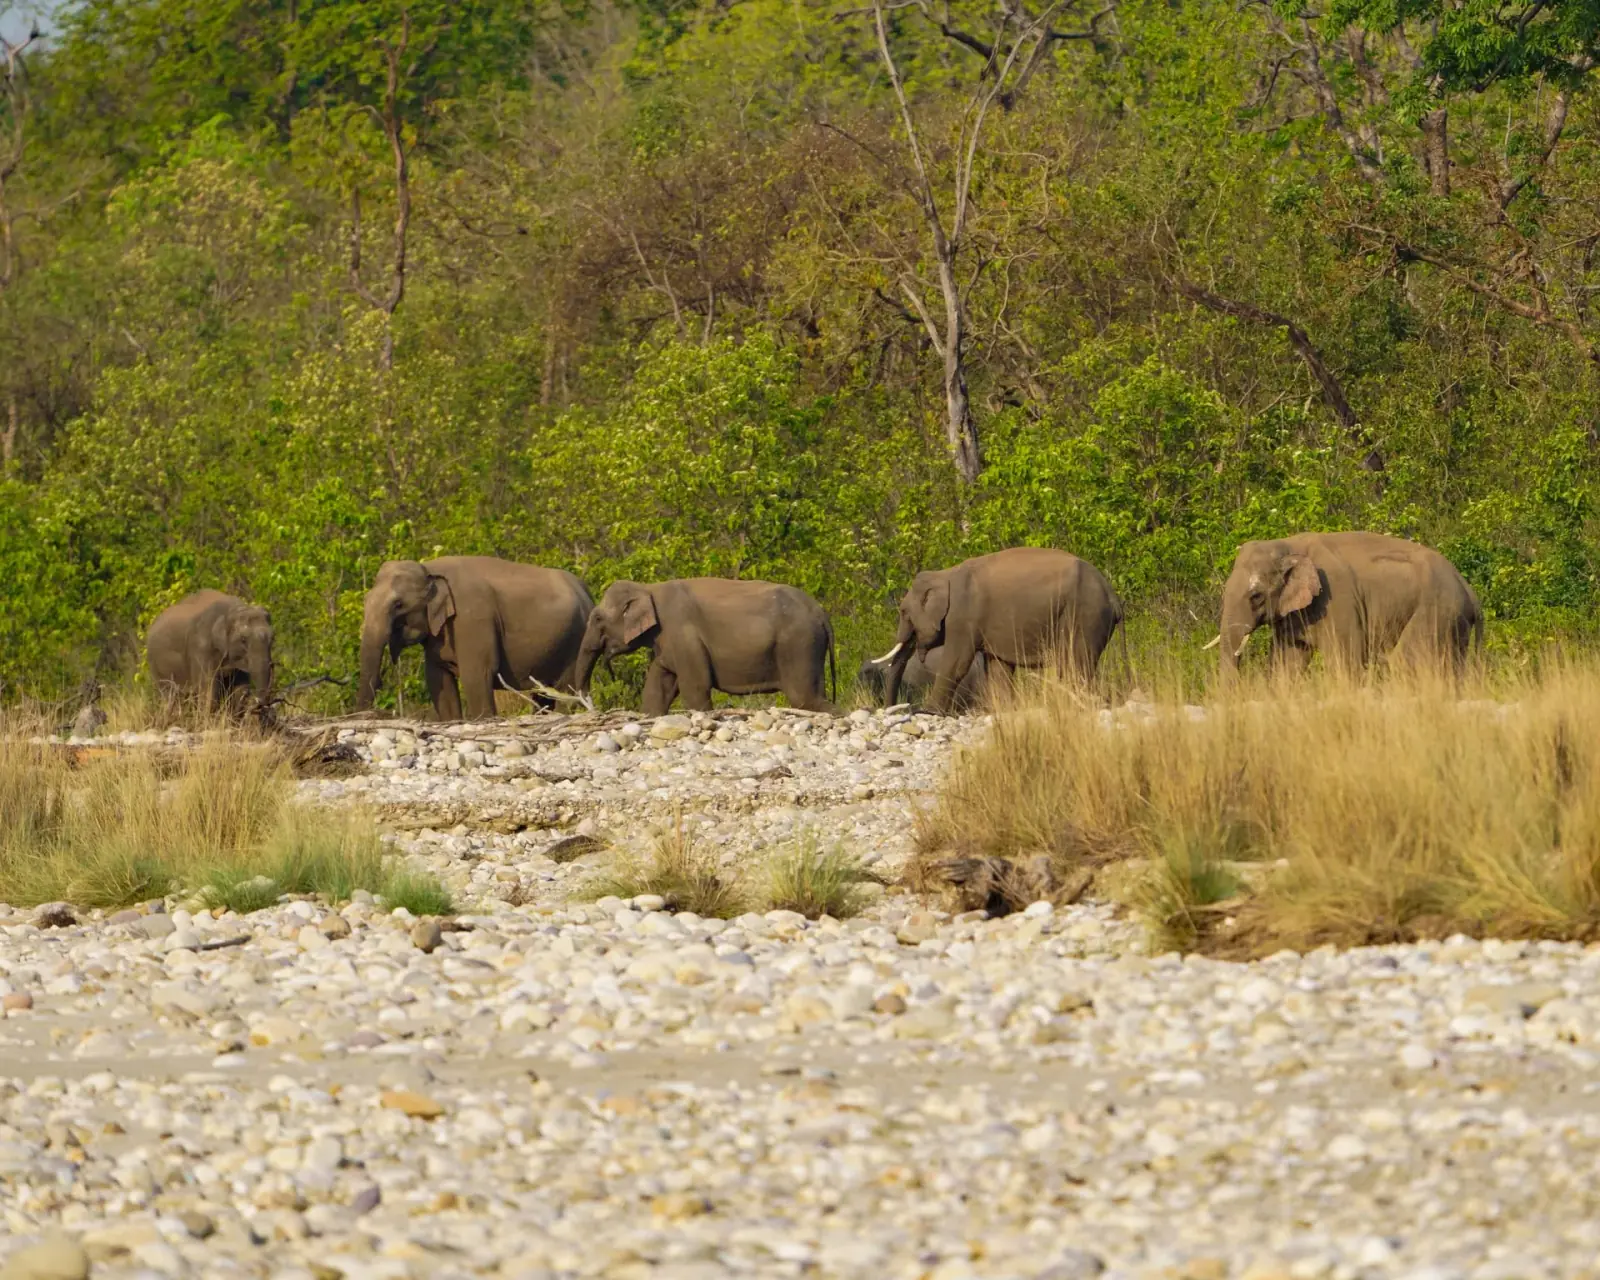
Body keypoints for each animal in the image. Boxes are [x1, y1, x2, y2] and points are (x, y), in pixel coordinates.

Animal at [146, 590, 275, 715]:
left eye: (272, 639)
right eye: (243, 640)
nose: (258, 702)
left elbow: (238, 693)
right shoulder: (200, 648)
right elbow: (208, 692)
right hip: (156, 666)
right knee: (170, 696)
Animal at [356, 556, 593, 721]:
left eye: (398, 605)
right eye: (365, 600)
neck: (429, 569)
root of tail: (586, 591)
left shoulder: (472, 620)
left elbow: (477, 675)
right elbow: (437, 677)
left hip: (577, 642)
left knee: (567, 690)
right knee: (543, 694)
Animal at [575, 578, 837, 715]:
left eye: (597, 618)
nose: (591, 705)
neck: (649, 588)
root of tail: (822, 613)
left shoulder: (683, 633)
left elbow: (696, 687)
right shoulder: (665, 643)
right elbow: (658, 688)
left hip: (799, 644)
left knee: (805, 698)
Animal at [871, 547, 1125, 714]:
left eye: (903, 612)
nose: (893, 708)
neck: (944, 573)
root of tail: (1113, 597)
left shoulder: (962, 617)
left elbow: (957, 662)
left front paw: (928, 711)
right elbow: (997, 667)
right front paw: (1003, 710)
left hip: (1084, 615)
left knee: (1075, 663)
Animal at [1213, 531, 1484, 678]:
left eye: (1256, 596)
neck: (1287, 543)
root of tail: (1469, 589)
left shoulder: (1337, 600)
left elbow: (1346, 659)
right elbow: (1286, 662)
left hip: (1436, 610)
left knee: (1409, 659)